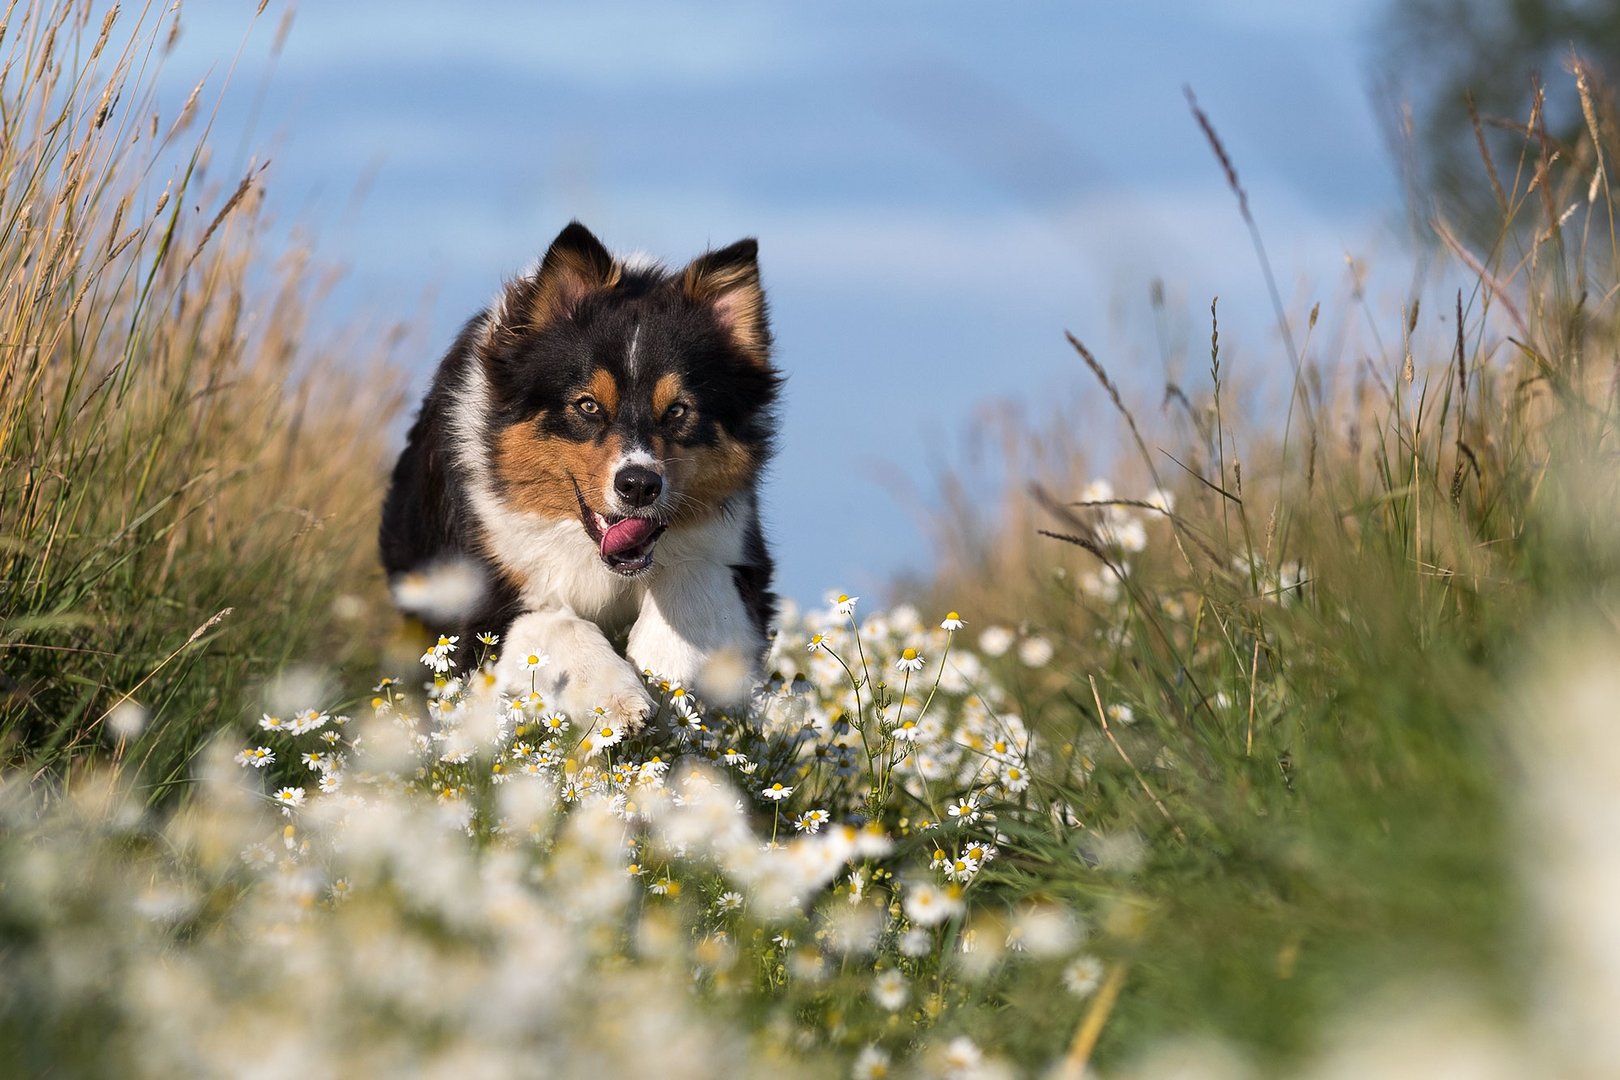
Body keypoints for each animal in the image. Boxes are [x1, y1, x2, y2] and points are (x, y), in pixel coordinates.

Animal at [379, 220, 784, 731]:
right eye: (588, 405)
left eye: (678, 410)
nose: (639, 486)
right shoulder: (485, 610)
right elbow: (559, 624)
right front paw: (619, 697)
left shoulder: (743, 563)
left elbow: (695, 575)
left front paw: (665, 663)